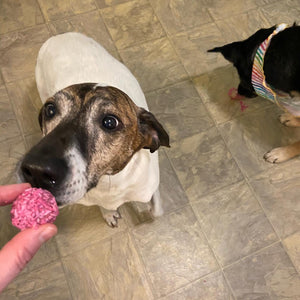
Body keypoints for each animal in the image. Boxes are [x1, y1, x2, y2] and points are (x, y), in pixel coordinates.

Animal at [17, 32, 170, 225]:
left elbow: (157, 211)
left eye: (110, 122)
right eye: (50, 110)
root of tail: (59, 36)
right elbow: (104, 206)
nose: (36, 170)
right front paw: (109, 213)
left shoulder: (149, 187)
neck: (109, 182)